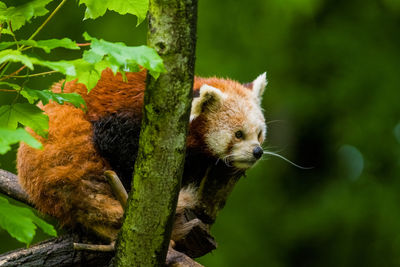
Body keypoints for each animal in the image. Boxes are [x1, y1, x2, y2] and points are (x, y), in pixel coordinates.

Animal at [16, 68, 266, 245]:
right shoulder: (128, 117)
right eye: (238, 134)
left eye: (259, 134)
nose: (257, 152)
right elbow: (118, 145)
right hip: (71, 146)